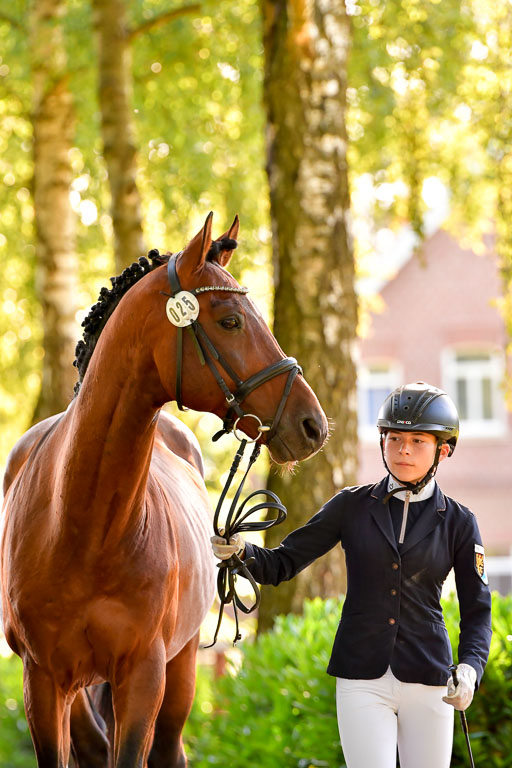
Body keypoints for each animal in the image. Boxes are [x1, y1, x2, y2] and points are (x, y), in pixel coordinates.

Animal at [0, 212, 328, 768]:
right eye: (231, 321)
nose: (313, 425)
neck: (82, 527)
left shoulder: (143, 677)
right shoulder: (41, 682)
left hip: (179, 674)